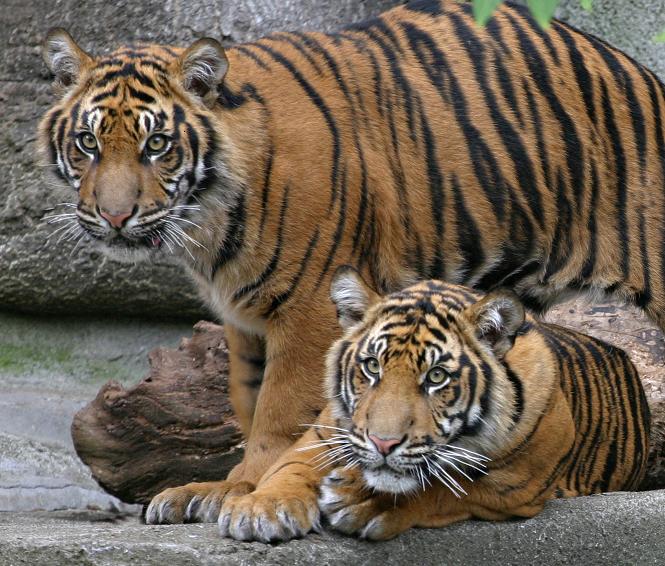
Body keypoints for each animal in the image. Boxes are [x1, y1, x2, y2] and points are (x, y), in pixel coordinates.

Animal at [215, 267, 651, 542]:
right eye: (372, 366)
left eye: (437, 377)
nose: (383, 444)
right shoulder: (324, 434)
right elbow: (287, 468)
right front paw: (260, 510)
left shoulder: (516, 483)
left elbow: (445, 486)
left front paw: (366, 501)